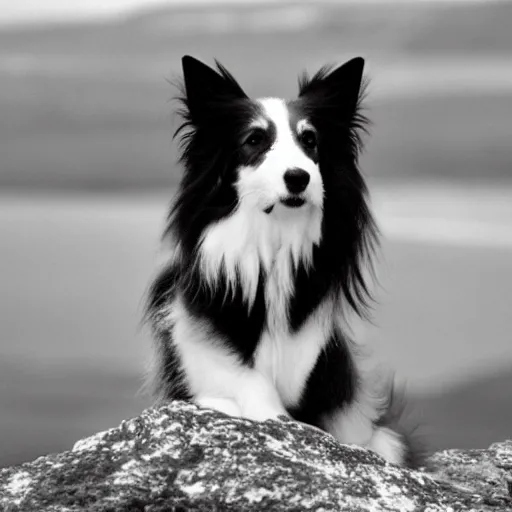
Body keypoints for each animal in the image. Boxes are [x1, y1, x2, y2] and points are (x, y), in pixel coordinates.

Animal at [146, 56, 422, 468]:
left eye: (310, 140)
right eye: (254, 140)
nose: (298, 177)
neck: (273, 247)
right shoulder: (200, 347)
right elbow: (243, 388)